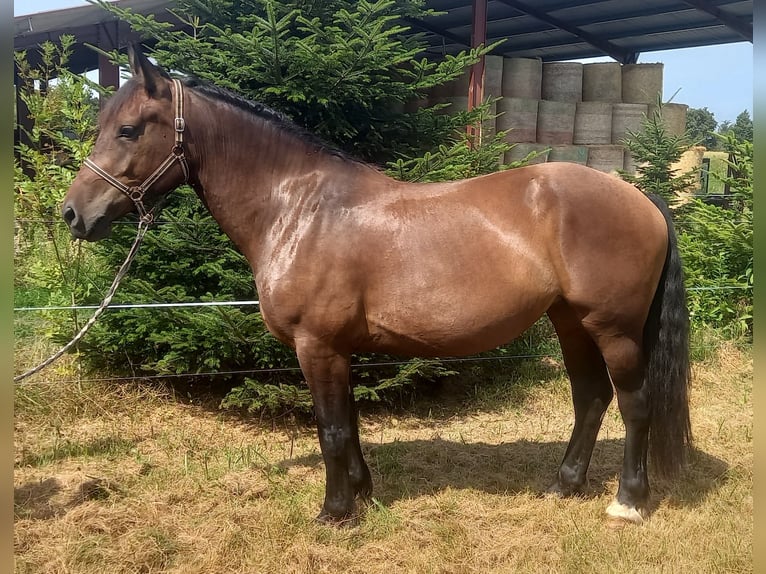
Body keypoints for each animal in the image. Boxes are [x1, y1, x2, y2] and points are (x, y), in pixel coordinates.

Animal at [63, 45, 692, 528]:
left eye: (127, 130)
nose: (74, 215)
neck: (300, 207)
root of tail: (638, 195)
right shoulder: (338, 349)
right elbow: (351, 425)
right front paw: (362, 494)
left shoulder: (316, 345)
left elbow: (332, 428)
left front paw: (335, 512)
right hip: (569, 322)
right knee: (591, 398)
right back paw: (564, 484)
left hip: (613, 329)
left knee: (634, 404)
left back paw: (628, 502)